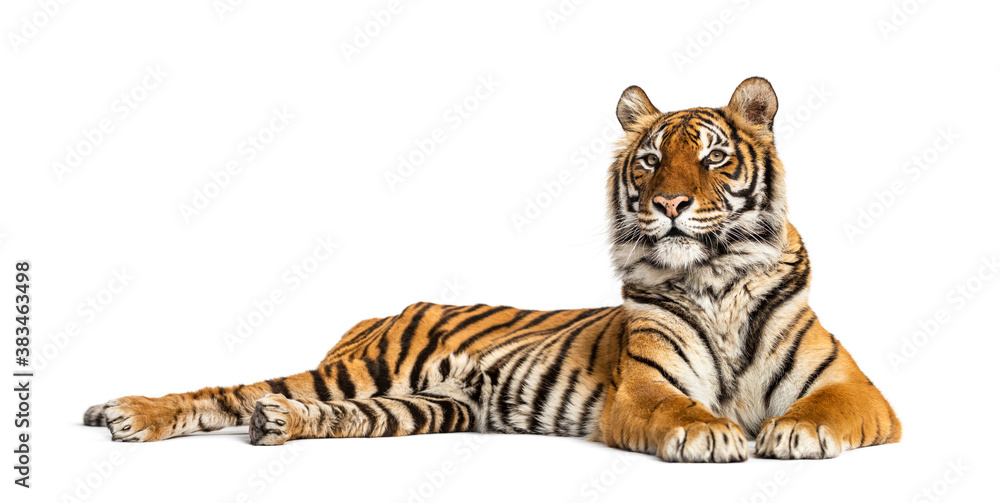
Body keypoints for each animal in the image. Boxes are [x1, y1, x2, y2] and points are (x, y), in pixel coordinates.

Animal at [84, 77, 901, 462]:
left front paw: (792, 433)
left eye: (714, 158)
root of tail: (381, 312)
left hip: (433, 403)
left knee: (321, 412)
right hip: (364, 369)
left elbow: (824, 409)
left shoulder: (857, 389)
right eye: (648, 161)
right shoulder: (641, 391)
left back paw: (278, 424)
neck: (716, 278)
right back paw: (130, 413)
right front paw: (713, 435)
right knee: (227, 391)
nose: (668, 203)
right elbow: (683, 410)